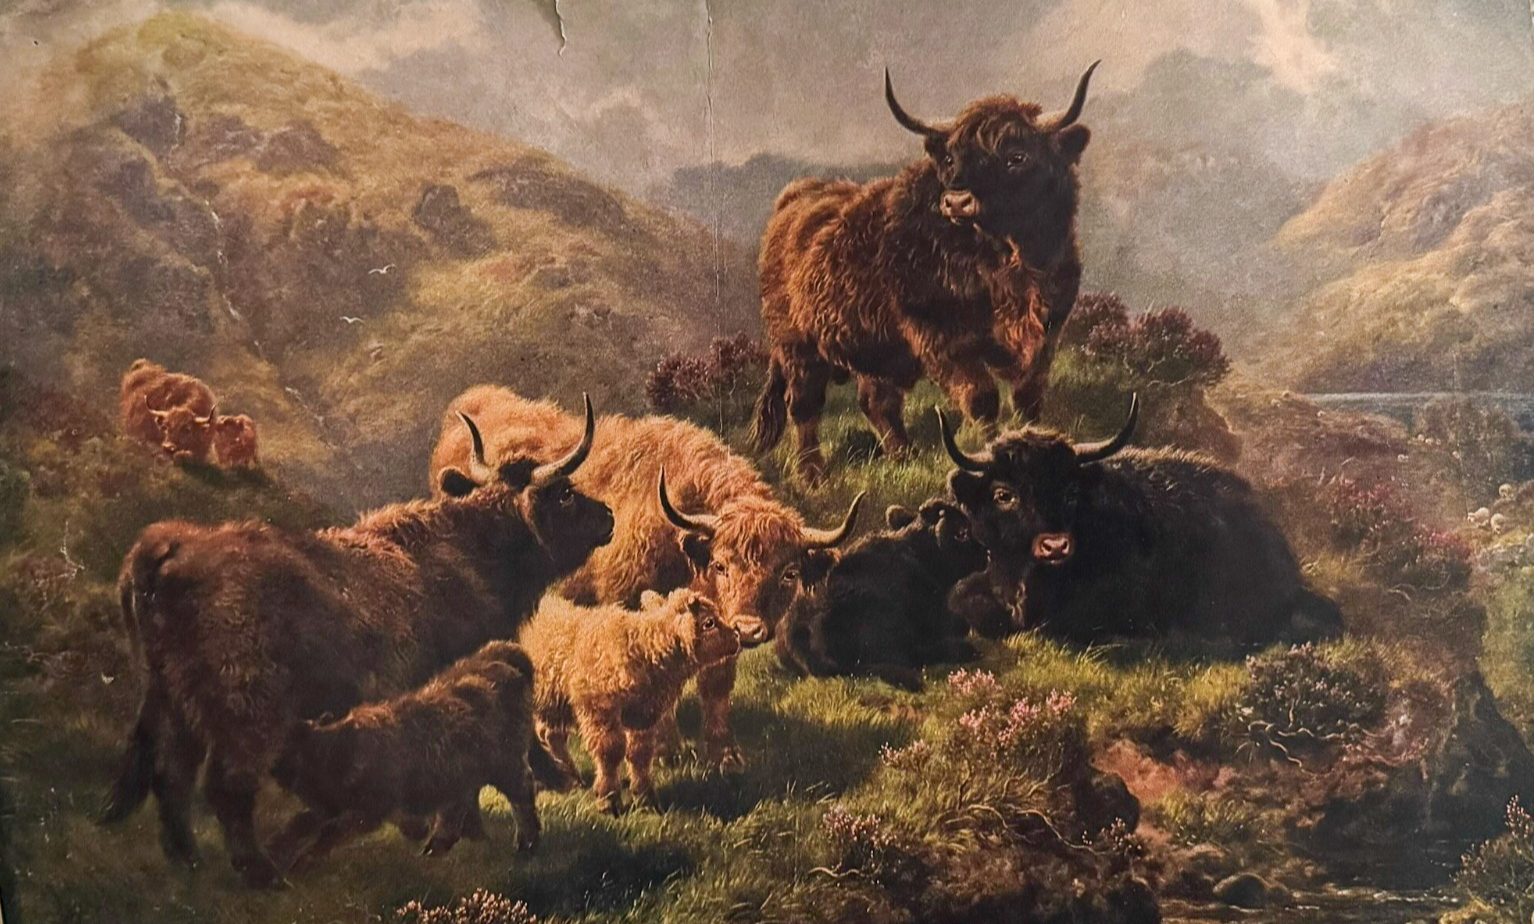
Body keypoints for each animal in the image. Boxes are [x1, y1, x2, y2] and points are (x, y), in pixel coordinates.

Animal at [99, 398, 612, 888]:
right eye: (566, 493)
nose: (608, 516)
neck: (471, 551)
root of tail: (170, 547)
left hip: (170, 700)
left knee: (169, 774)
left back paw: (187, 859)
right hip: (246, 706)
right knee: (223, 785)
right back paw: (264, 874)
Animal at [428, 386, 863, 771]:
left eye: (789, 572)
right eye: (722, 565)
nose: (750, 628)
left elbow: (716, 686)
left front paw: (725, 757)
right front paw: (667, 752)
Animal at [752, 64, 1099, 483]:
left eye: (1017, 156)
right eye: (951, 160)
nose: (957, 201)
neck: (1008, 264)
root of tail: (796, 196)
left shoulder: (1046, 334)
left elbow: (1028, 397)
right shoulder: (944, 341)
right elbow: (982, 399)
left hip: (875, 347)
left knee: (877, 403)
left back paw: (903, 457)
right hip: (798, 347)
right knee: (804, 405)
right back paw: (812, 475)